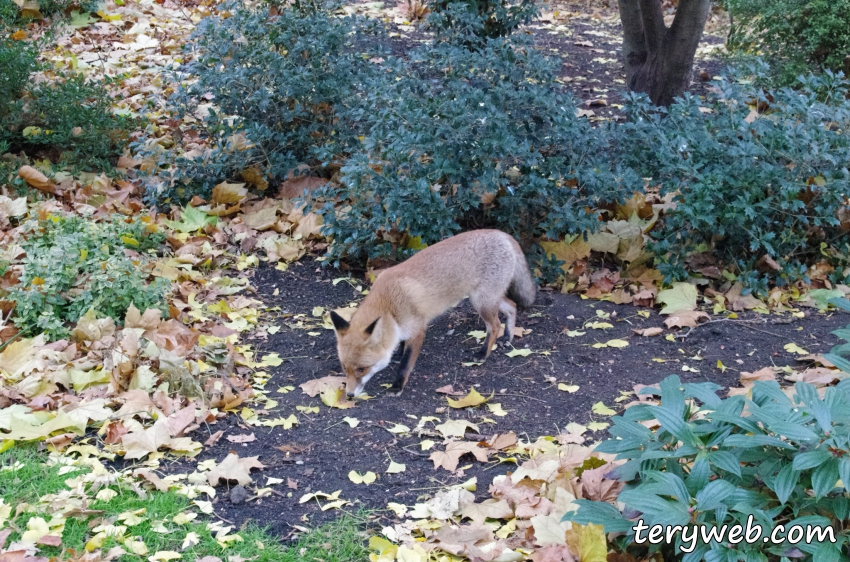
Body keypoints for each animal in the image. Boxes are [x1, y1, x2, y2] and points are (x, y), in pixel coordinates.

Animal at [328, 226, 532, 394]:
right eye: (344, 368)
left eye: (361, 369)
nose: (350, 395)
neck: (389, 305)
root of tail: (502, 233)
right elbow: (401, 346)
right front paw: (398, 353)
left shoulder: (418, 330)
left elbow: (405, 364)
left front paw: (397, 386)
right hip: (488, 298)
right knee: (512, 307)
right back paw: (508, 337)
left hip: (481, 301)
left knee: (495, 325)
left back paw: (483, 353)